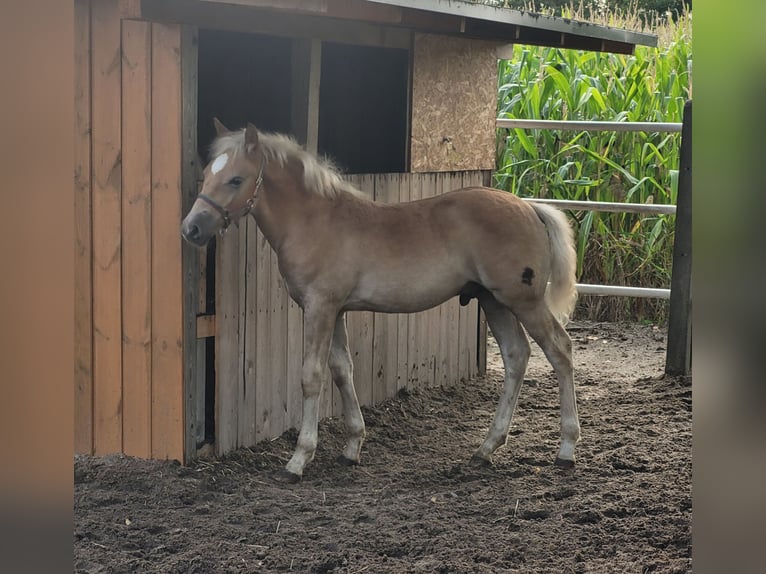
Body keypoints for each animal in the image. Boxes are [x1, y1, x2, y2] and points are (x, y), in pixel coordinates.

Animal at [183, 120, 584, 486]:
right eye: (207, 173)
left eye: (236, 179)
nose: (191, 229)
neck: (315, 221)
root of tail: (530, 207)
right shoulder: (337, 311)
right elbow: (342, 370)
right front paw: (351, 448)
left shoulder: (319, 308)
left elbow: (311, 377)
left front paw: (299, 459)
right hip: (494, 301)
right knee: (517, 356)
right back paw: (486, 448)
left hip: (523, 301)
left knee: (560, 350)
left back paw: (566, 449)